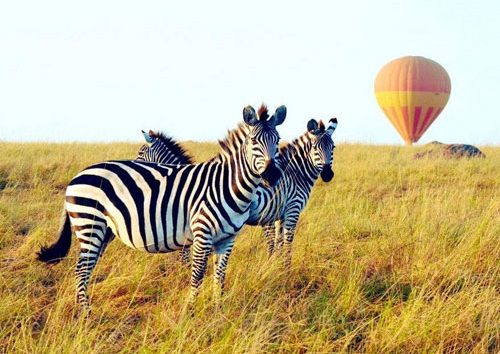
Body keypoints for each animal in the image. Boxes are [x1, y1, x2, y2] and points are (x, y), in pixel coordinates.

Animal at [37, 103, 288, 312]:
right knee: (81, 269)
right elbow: (196, 273)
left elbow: (220, 275)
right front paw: (189, 312)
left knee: (85, 268)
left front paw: (218, 312)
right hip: (89, 224)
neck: (225, 184)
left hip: (102, 231)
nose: (272, 175)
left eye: (277, 140)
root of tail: (77, 176)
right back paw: (86, 315)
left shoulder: (227, 239)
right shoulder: (200, 234)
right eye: (253, 141)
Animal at [139, 117, 338, 264]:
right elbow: (285, 245)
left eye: (333, 147)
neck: (296, 173)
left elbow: (278, 244)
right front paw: (284, 270)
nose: (328, 175)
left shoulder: (279, 214)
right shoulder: (292, 211)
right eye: (315, 148)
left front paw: (276, 267)